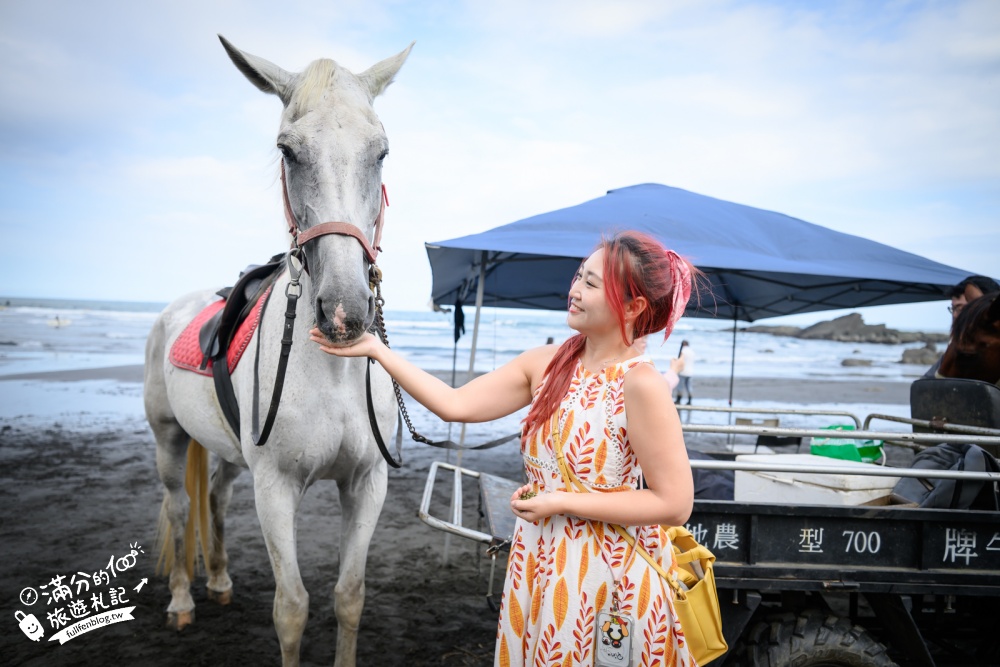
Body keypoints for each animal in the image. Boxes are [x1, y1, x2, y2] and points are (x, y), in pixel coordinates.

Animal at [143, 35, 411, 667]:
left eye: (381, 152)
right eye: (289, 152)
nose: (345, 313)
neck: (332, 373)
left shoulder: (367, 484)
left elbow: (349, 597)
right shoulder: (275, 490)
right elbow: (291, 609)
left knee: (215, 496)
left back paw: (218, 581)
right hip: (169, 440)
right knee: (180, 507)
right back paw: (183, 601)